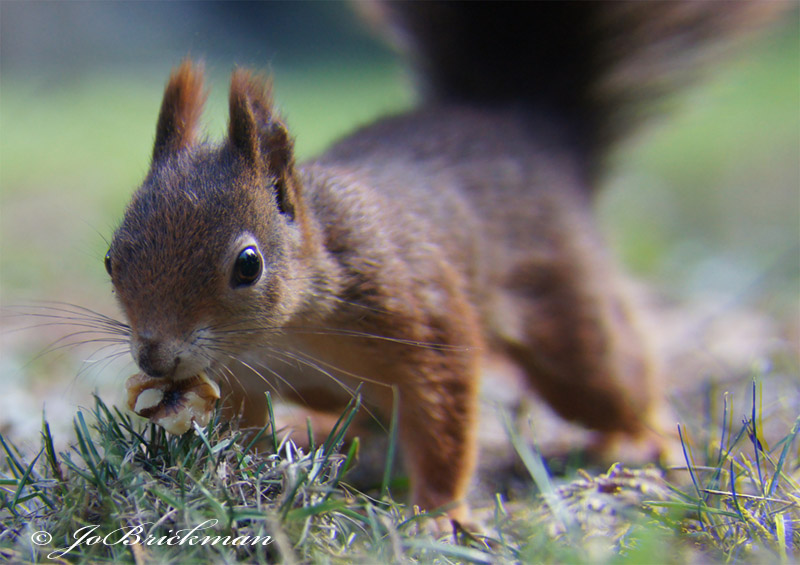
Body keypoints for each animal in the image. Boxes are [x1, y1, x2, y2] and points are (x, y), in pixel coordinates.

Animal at [103, 2, 784, 524]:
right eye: (112, 258)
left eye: (248, 265)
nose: (154, 357)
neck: (286, 329)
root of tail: (525, 125)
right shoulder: (244, 377)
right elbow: (243, 426)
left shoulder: (422, 319)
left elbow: (446, 415)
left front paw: (440, 513)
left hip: (569, 325)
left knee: (612, 372)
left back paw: (651, 438)